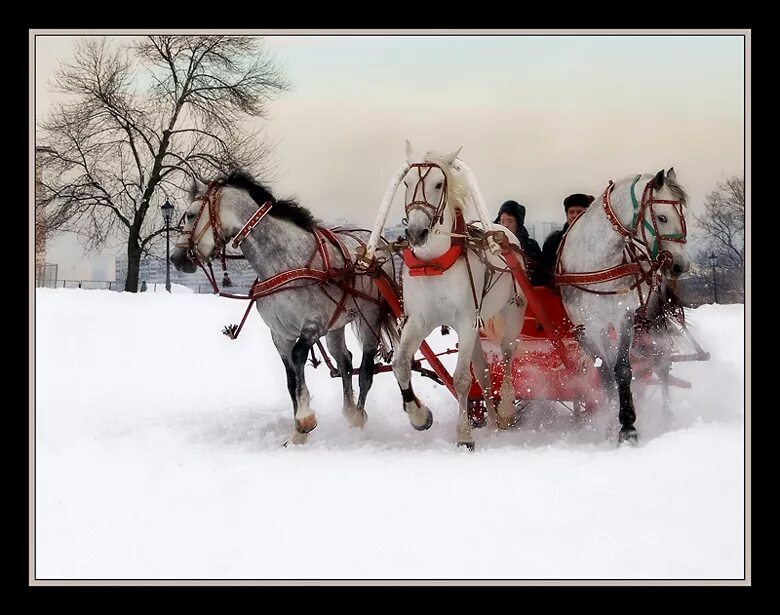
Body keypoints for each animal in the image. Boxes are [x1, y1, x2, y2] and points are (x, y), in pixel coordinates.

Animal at [169, 171, 396, 446]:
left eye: (190, 214)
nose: (176, 259)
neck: (282, 261)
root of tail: (376, 243)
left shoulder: (313, 324)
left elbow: (299, 357)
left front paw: (305, 418)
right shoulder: (280, 334)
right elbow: (290, 378)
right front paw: (298, 431)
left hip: (369, 318)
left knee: (365, 369)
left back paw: (358, 419)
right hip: (337, 323)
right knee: (344, 361)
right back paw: (349, 410)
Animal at [380, 145, 528, 452]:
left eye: (439, 184)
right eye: (406, 183)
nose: (416, 232)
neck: (434, 264)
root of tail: (505, 232)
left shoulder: (465, 320)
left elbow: (461, 379)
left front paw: (464, 434)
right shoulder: (418, 320)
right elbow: (401, 363)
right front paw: (419, 416)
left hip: (511, 313)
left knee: (507, 356)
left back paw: (505, 411)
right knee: (483, 373)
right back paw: (492, 421)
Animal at [556, 171, 692, 446]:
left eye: (682, 216)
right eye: (662, 217)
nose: (681, 265)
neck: (597, 261)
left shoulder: (623, 318)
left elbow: (622, 369)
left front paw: (628, 427)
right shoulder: (587, 326)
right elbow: (605, 375)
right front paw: (609, 425)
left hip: (652, 318)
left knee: (661, 364)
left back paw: (667, 416)